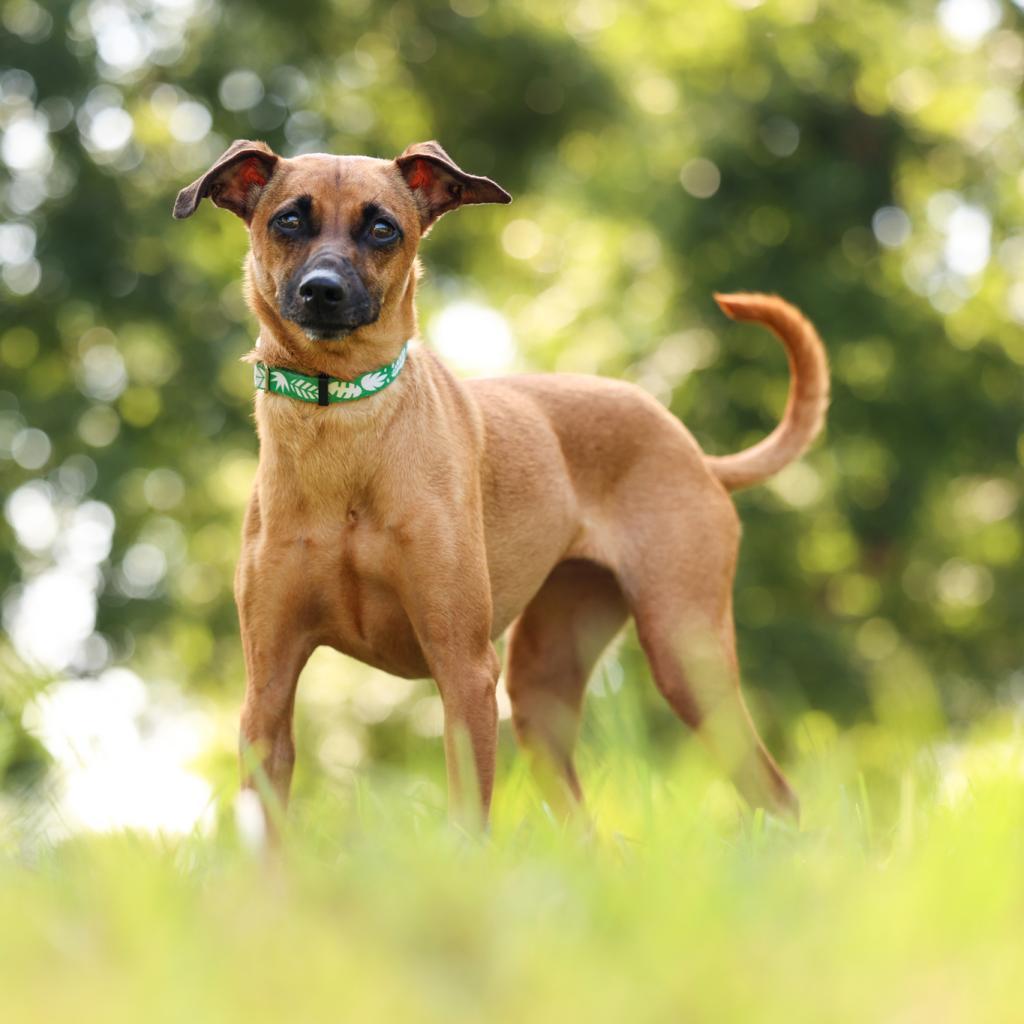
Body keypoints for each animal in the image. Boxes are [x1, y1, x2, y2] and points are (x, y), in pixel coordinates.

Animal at [174, 140, 831, 831]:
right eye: (289, 221)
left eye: (382, 228)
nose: (322, 291)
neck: (346, 429)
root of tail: (696, 453)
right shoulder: (267, 691)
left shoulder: (464, 671)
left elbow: (468, 819)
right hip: (543, 692)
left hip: (686, 655)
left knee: (775, 793)